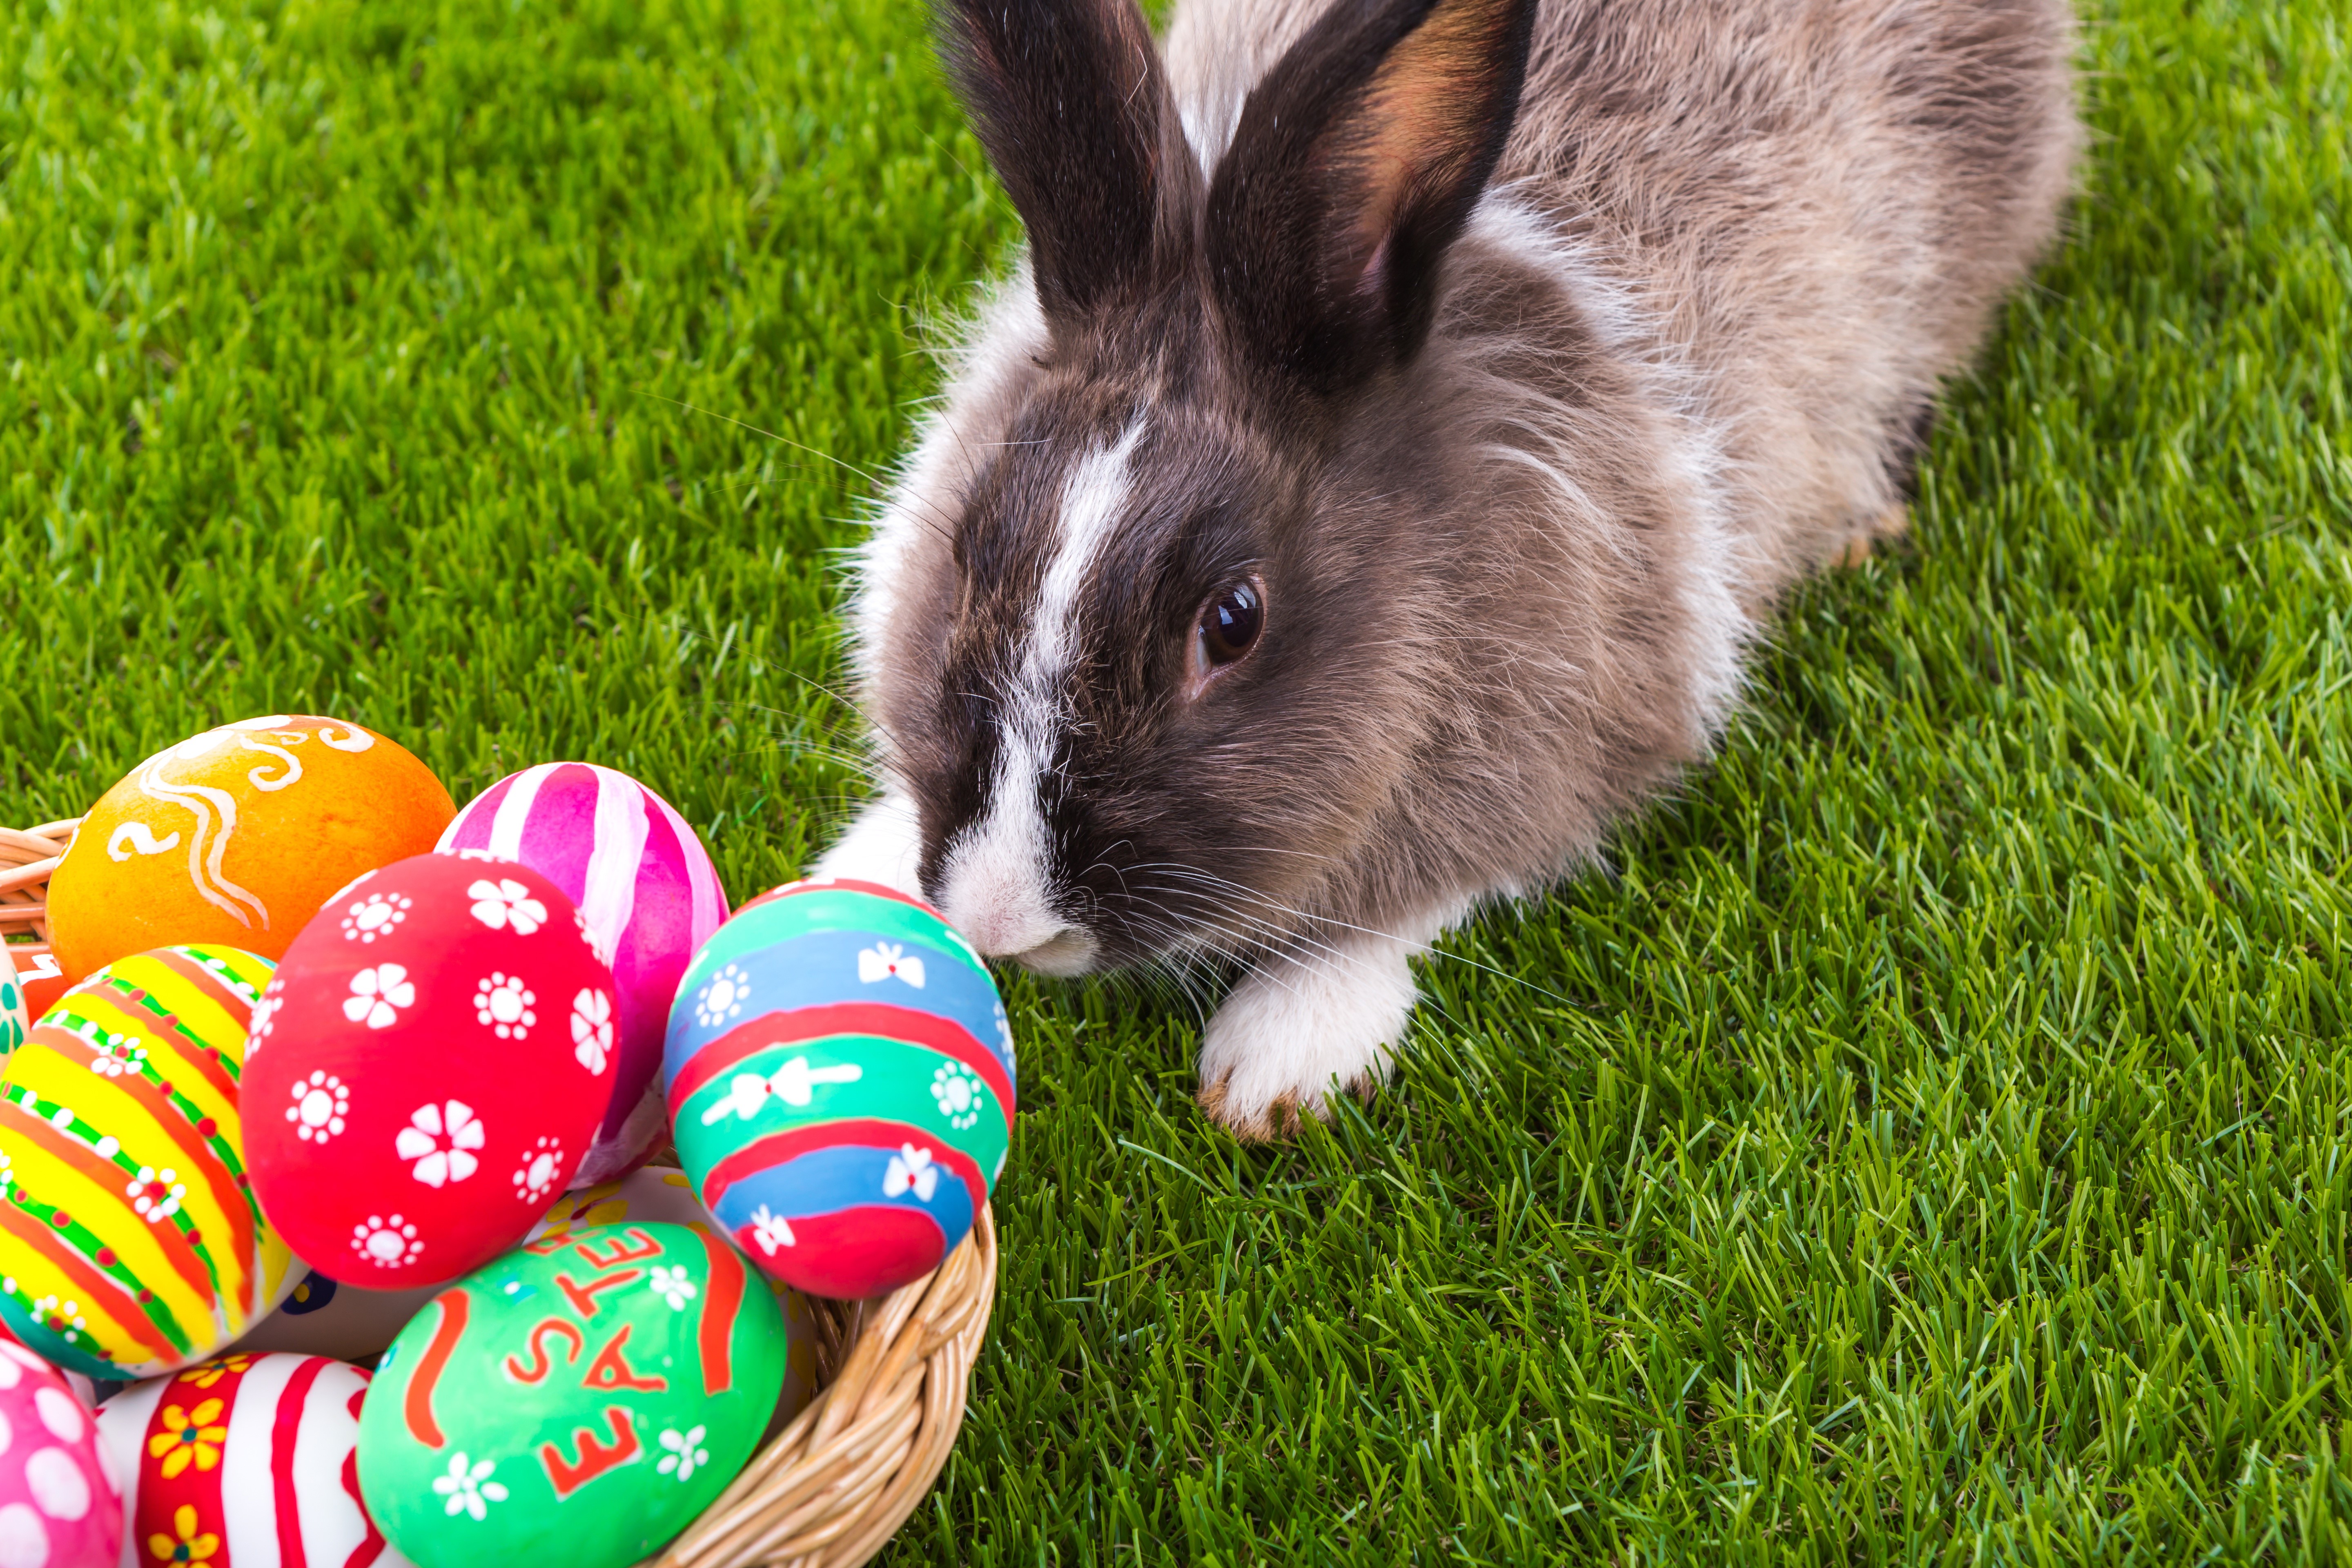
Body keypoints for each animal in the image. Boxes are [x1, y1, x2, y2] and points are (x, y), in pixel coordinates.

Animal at [815, 0, 2080, 1138]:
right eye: (971, 541)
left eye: (1232, 621)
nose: (1001, 920)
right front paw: (852, 872)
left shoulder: (1588, 729)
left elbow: (1421, 893)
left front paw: (1283, 1059)